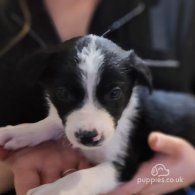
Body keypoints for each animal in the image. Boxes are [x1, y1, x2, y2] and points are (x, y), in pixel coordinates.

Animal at [0, 34, 195, 194]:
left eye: (115, 93)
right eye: (63, 93)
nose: (88, 137)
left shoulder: (125, 164)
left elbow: (82, 176)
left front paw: (52, 191)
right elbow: (51, 123)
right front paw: (17, 132)